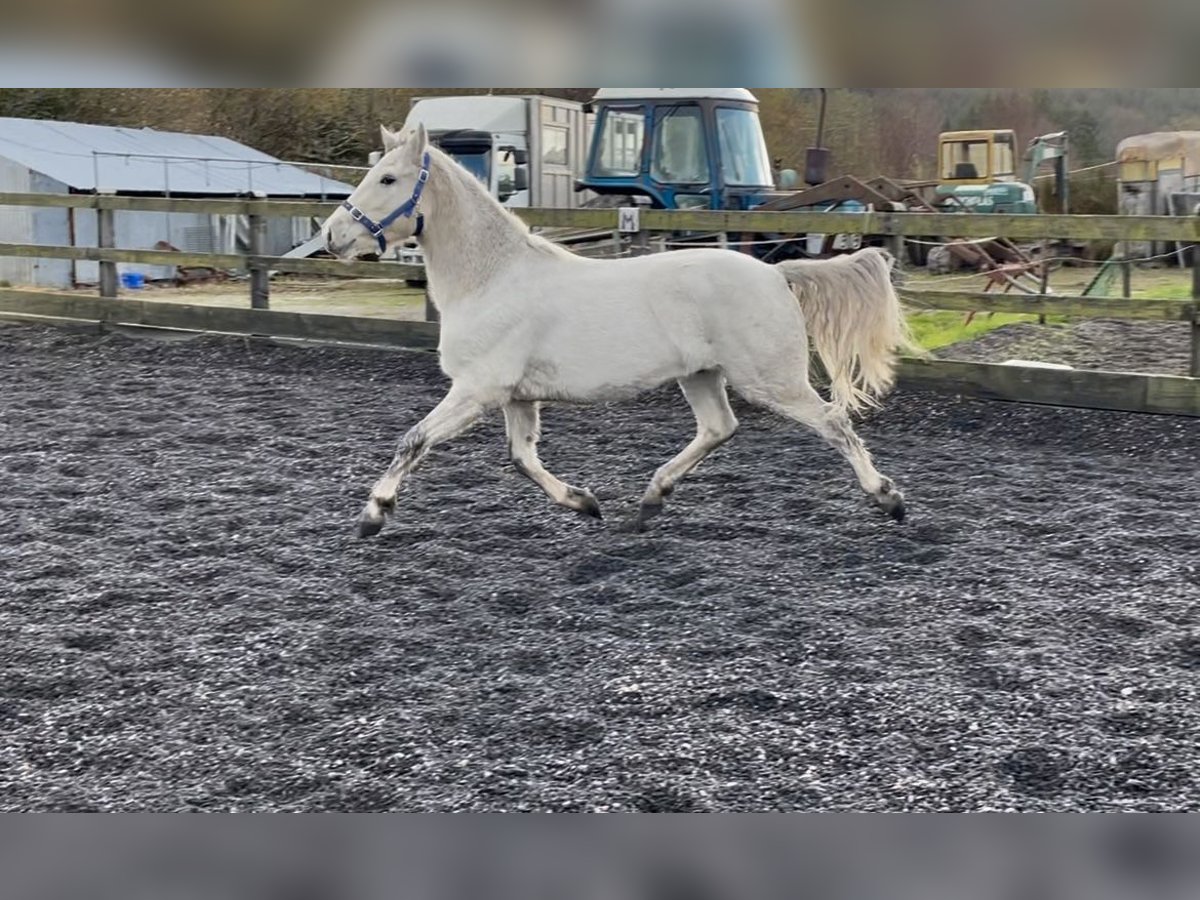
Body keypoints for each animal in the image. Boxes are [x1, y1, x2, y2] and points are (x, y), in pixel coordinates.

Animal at [323, 124, 915, 538]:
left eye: (388, 179)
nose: (332, 235)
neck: (490, 278)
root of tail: (775, 273)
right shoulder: (516, 398)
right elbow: (522, 459)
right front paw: (586, 504)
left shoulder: (477, 391)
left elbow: (413, 440)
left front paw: (373, 515)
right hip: (702, 375)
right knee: (718, 428)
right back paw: (649, 502)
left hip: (771, 380)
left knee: (834, 422)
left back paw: (889, 499)